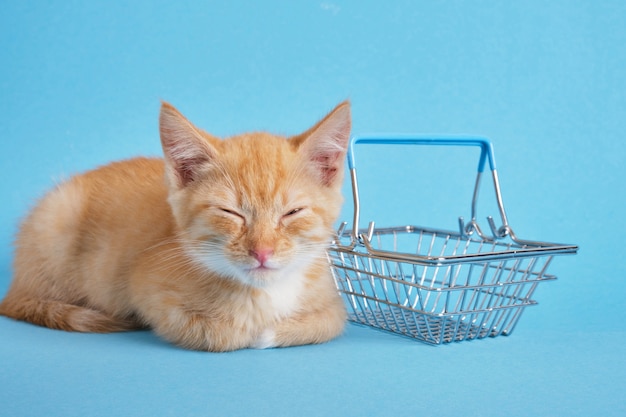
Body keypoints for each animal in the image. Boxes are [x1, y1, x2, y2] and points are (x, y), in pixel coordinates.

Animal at [0, 101, 352, 352]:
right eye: (230, 212)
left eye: (292, 213)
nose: (262, 252)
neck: (263, 292)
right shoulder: (145, 289)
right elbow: (217, 333)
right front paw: (247, 329)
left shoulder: (330, 297)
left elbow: (330, 322)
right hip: (56, 219)